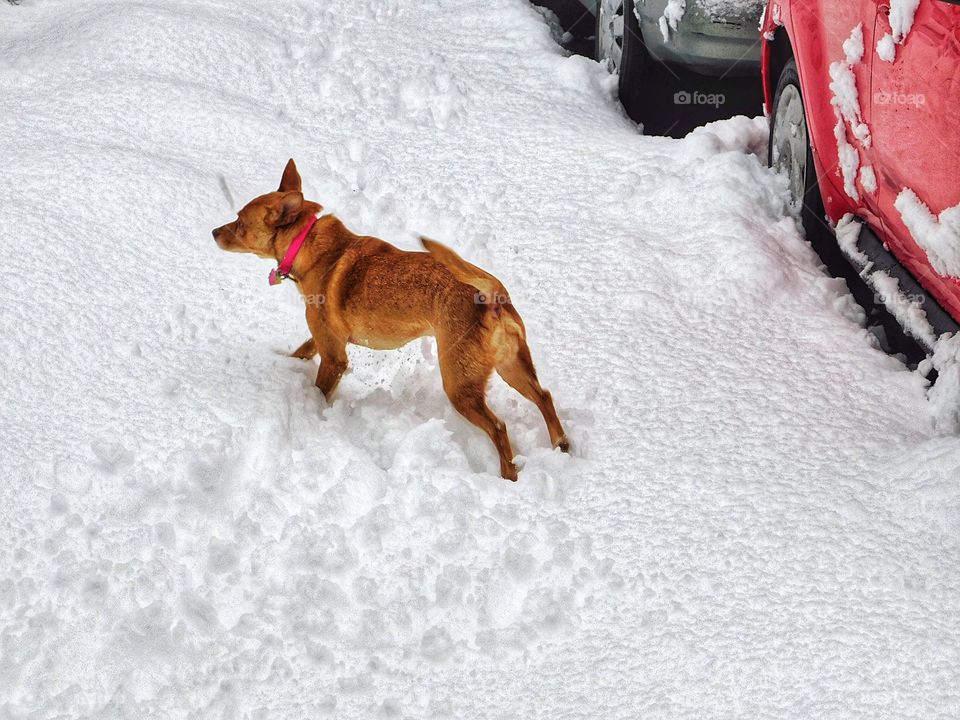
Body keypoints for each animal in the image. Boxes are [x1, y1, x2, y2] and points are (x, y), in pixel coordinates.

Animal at [214, 160, 568, 480]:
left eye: (239, 221)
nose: (214, 231)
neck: (307, 244)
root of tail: (492, 298)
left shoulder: (334, 357)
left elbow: (319, 390)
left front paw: (313, 415)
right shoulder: (325, 338)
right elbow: (302, 349)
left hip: (460, 385)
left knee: (498, 426)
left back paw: (508, 474)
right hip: (511, 365)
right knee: (544, 396)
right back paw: (562, 445)